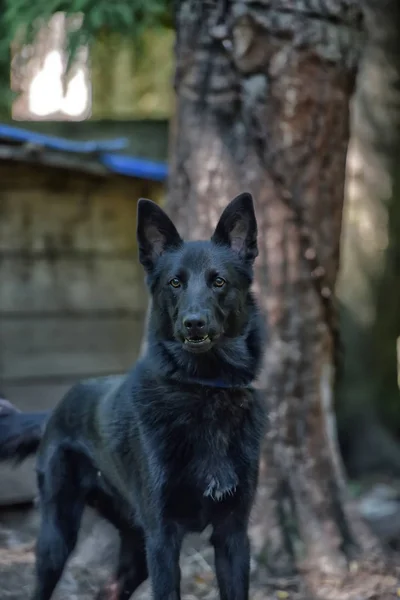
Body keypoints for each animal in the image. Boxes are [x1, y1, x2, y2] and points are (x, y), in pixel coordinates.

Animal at [0, 193, 268, 600]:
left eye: (219, 281)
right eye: (175, 282)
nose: (193, 323)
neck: (204, 388)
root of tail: (56, 410)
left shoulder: (232, 536)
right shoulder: (163, 538)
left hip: (134, 547)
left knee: (108, 591)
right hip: (57, 538)